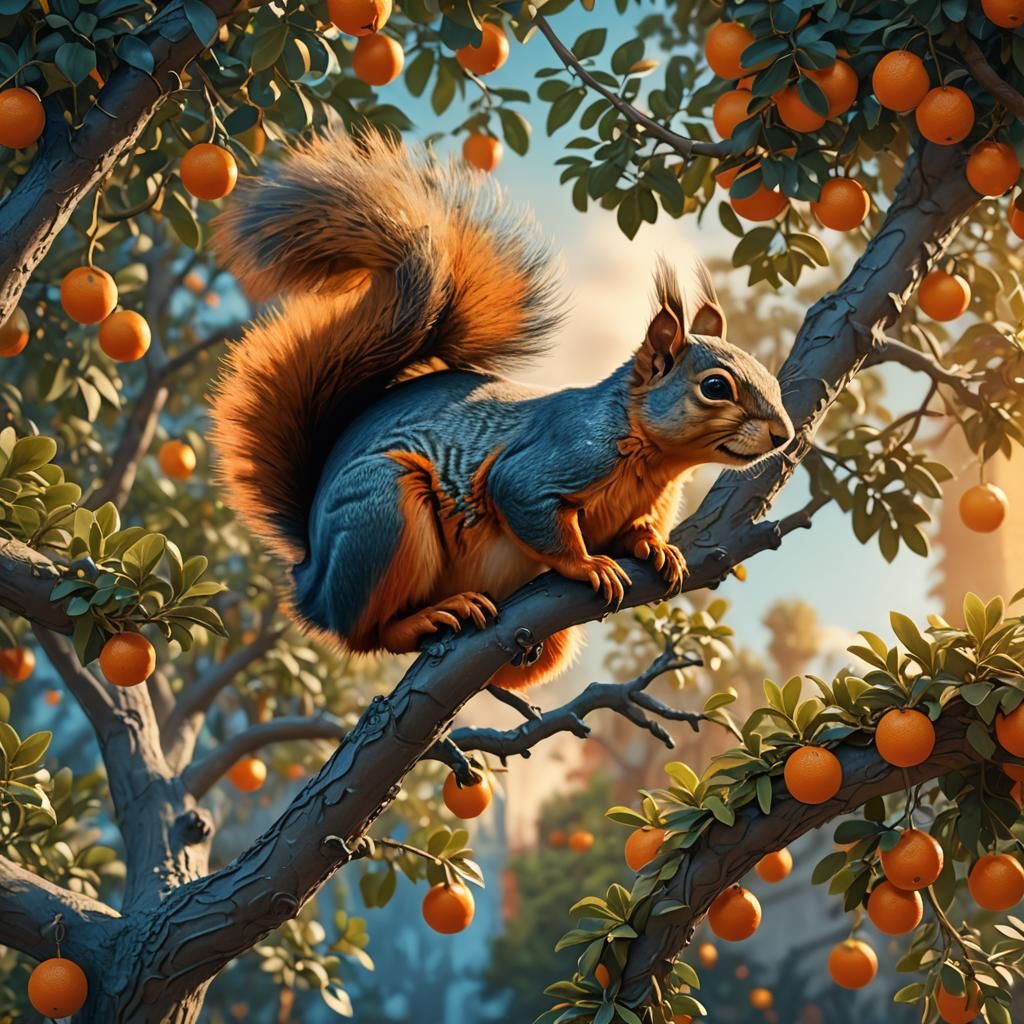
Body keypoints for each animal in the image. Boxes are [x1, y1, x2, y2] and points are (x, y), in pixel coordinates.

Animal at [209, 129, 794, 691]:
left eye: (769, 375)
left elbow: (633, 531)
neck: (656, 462)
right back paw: (432, 615)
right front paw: (587, 563)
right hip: (382, 515)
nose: (784, 435)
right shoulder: (554, 459)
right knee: (368, 633)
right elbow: (528, 505)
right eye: (715, 387)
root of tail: (312, 579)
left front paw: (654, 546)